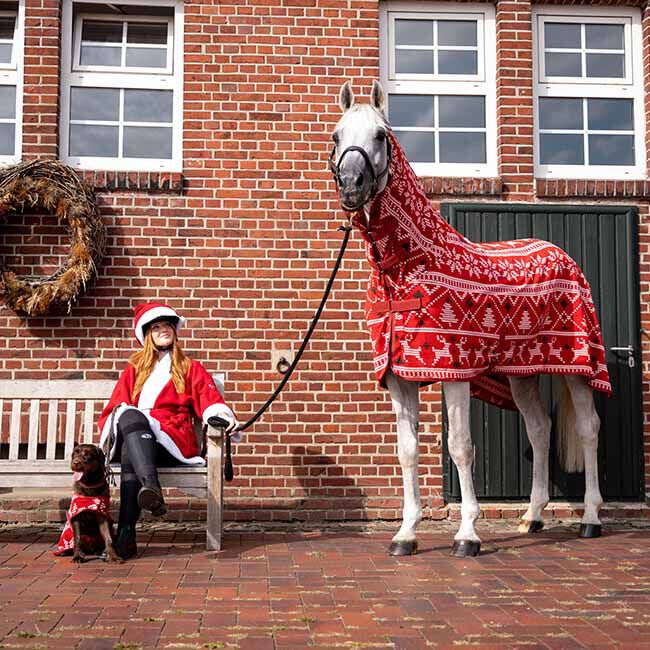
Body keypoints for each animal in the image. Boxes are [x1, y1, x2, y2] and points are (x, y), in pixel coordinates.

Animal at [329, 80, 611, 557]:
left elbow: (461, 447)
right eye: (336, 136)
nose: (351, 184)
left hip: (576, 367)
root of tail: (564, 256)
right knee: (539, 429)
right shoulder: (400, 377)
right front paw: (406, 534)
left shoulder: (454, 373)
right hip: (521, 373)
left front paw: (467, 534)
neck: (407, 267)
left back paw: (590, 518)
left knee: (589, 429)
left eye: (381, 136)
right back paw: (533, 517)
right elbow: (407, 451)